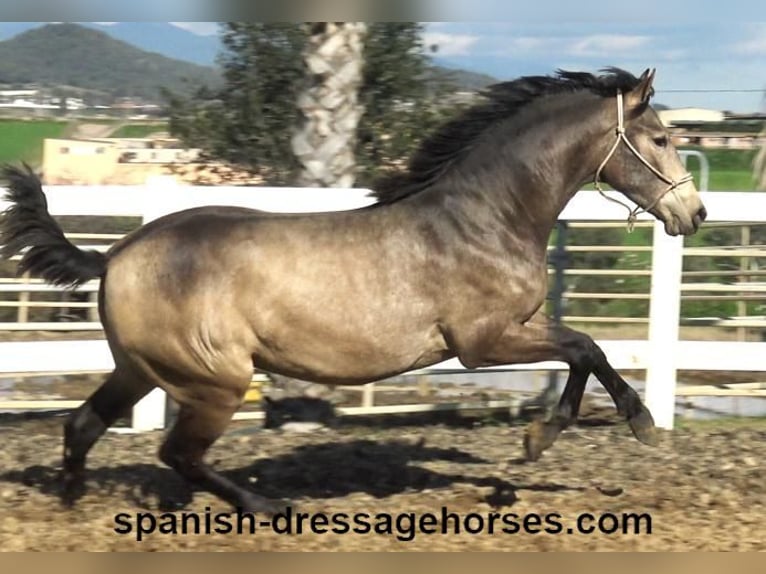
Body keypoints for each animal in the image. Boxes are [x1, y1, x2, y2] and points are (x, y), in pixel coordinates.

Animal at [0, 67, 708, 512]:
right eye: (661, 138)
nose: (694, 213)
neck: (484, 217)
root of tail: (115, 255)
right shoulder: (482, 342)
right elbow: (587, 346)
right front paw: (632, 425)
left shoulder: (512, 331)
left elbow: (584, 350)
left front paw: (541, 441)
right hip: (214, 381)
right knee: (178, 452)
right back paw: (269, 505)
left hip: (141, 370)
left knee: (83, 425)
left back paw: (71, 502)